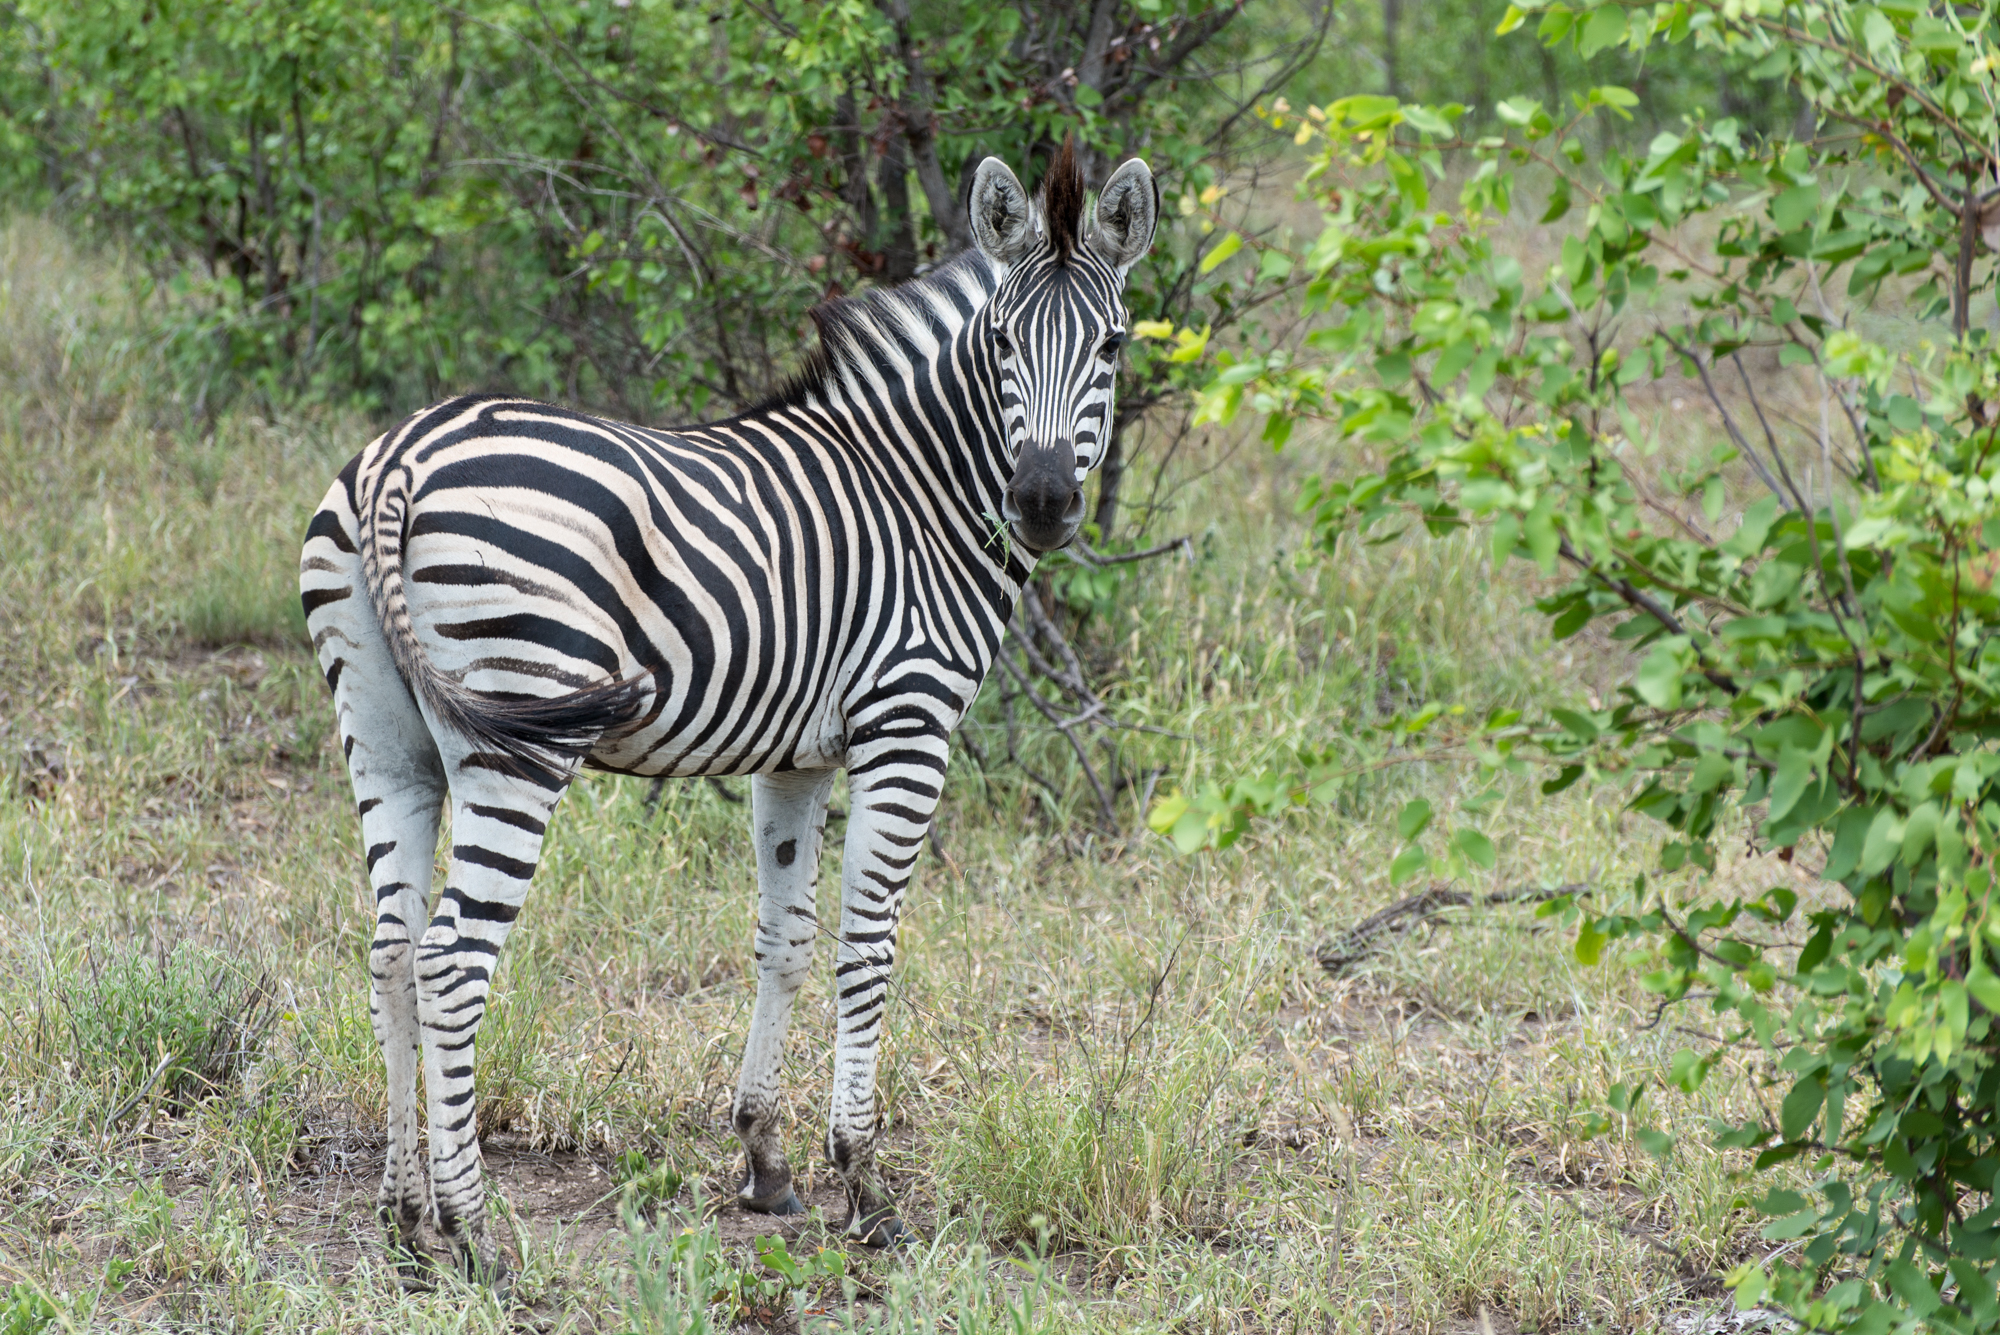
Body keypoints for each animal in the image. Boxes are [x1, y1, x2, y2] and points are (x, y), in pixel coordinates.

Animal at [298, 141, 1156, 1287]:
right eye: (1003, 342)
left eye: (1109, 343)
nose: (1046, 503)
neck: (918, 491)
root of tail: (398, 458)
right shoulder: (907, 724)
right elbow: (865, 949)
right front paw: (864, 1184)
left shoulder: (795, 756)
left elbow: (781, 938)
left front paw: (765, 1162)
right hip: (515, 736)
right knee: (450, 961)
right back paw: (472, 1231)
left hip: (387, 741)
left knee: (391, 951)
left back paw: (401, 1218)